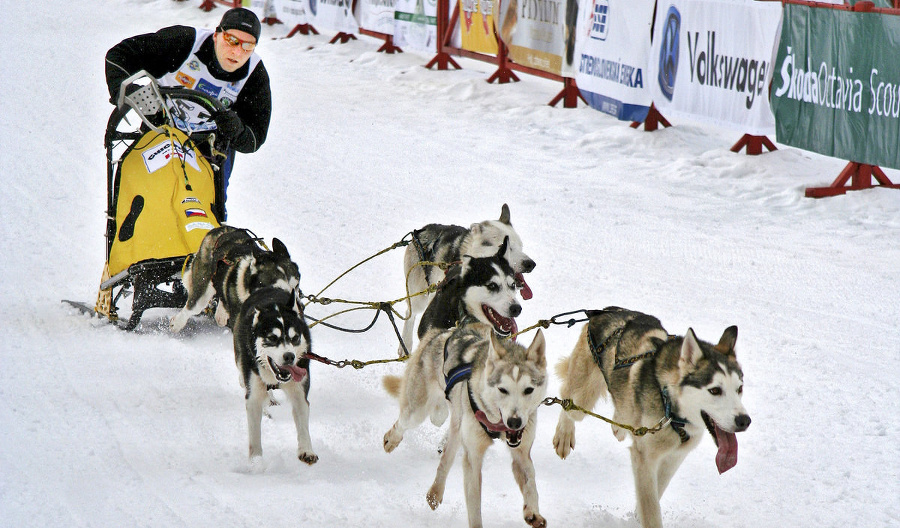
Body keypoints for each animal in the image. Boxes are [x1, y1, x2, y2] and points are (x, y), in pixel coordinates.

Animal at [230, 286, 318, 464]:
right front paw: (256, 462)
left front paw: (306, 450)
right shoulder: (253, 397)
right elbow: (254, 435)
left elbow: (303, 425)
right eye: (272, 338)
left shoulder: (299, 394)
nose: (289, 356)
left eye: (295, 338)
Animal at [382, 322, 548, 528]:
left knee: (446, 457)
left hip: (457, 423)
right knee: (404, 422)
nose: (514, 422)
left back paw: (435, 492)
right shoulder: (473, 456)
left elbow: (530, 481)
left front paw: (533, 511)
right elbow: (474, 507)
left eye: (528, 390)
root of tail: (440, 333)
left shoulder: (521, 452)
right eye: (503, 389)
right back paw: (391, 440)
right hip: (418, 411)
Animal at [400, 204, 536, 356]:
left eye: (521, 246)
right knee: (410, 313)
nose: (530, 264)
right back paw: (405, 344)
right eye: (506, 246)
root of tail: (423, 229)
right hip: (419, 297)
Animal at [552, 308, 748, 524]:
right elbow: (650, 506)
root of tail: (602, 312)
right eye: (715, 390)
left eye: (739, 388)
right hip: (583, 396)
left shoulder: (674, 457)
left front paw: (637, 516)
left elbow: (656, 491)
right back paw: (564, 436)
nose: (744, 421)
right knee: (568, 403)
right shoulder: (645, 458)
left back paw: (619, 426)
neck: (670, 408)